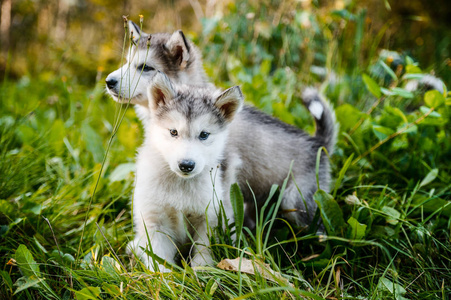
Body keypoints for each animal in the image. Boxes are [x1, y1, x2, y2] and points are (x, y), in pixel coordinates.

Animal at [131, 71, 244, 270]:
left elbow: (203, 252)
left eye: (204, 135)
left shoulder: (208, 218)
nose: (186, 165)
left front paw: (201, 272)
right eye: (173, 132)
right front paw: (164, 277)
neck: (180, 185)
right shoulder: (154, 220)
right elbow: (158, 258)